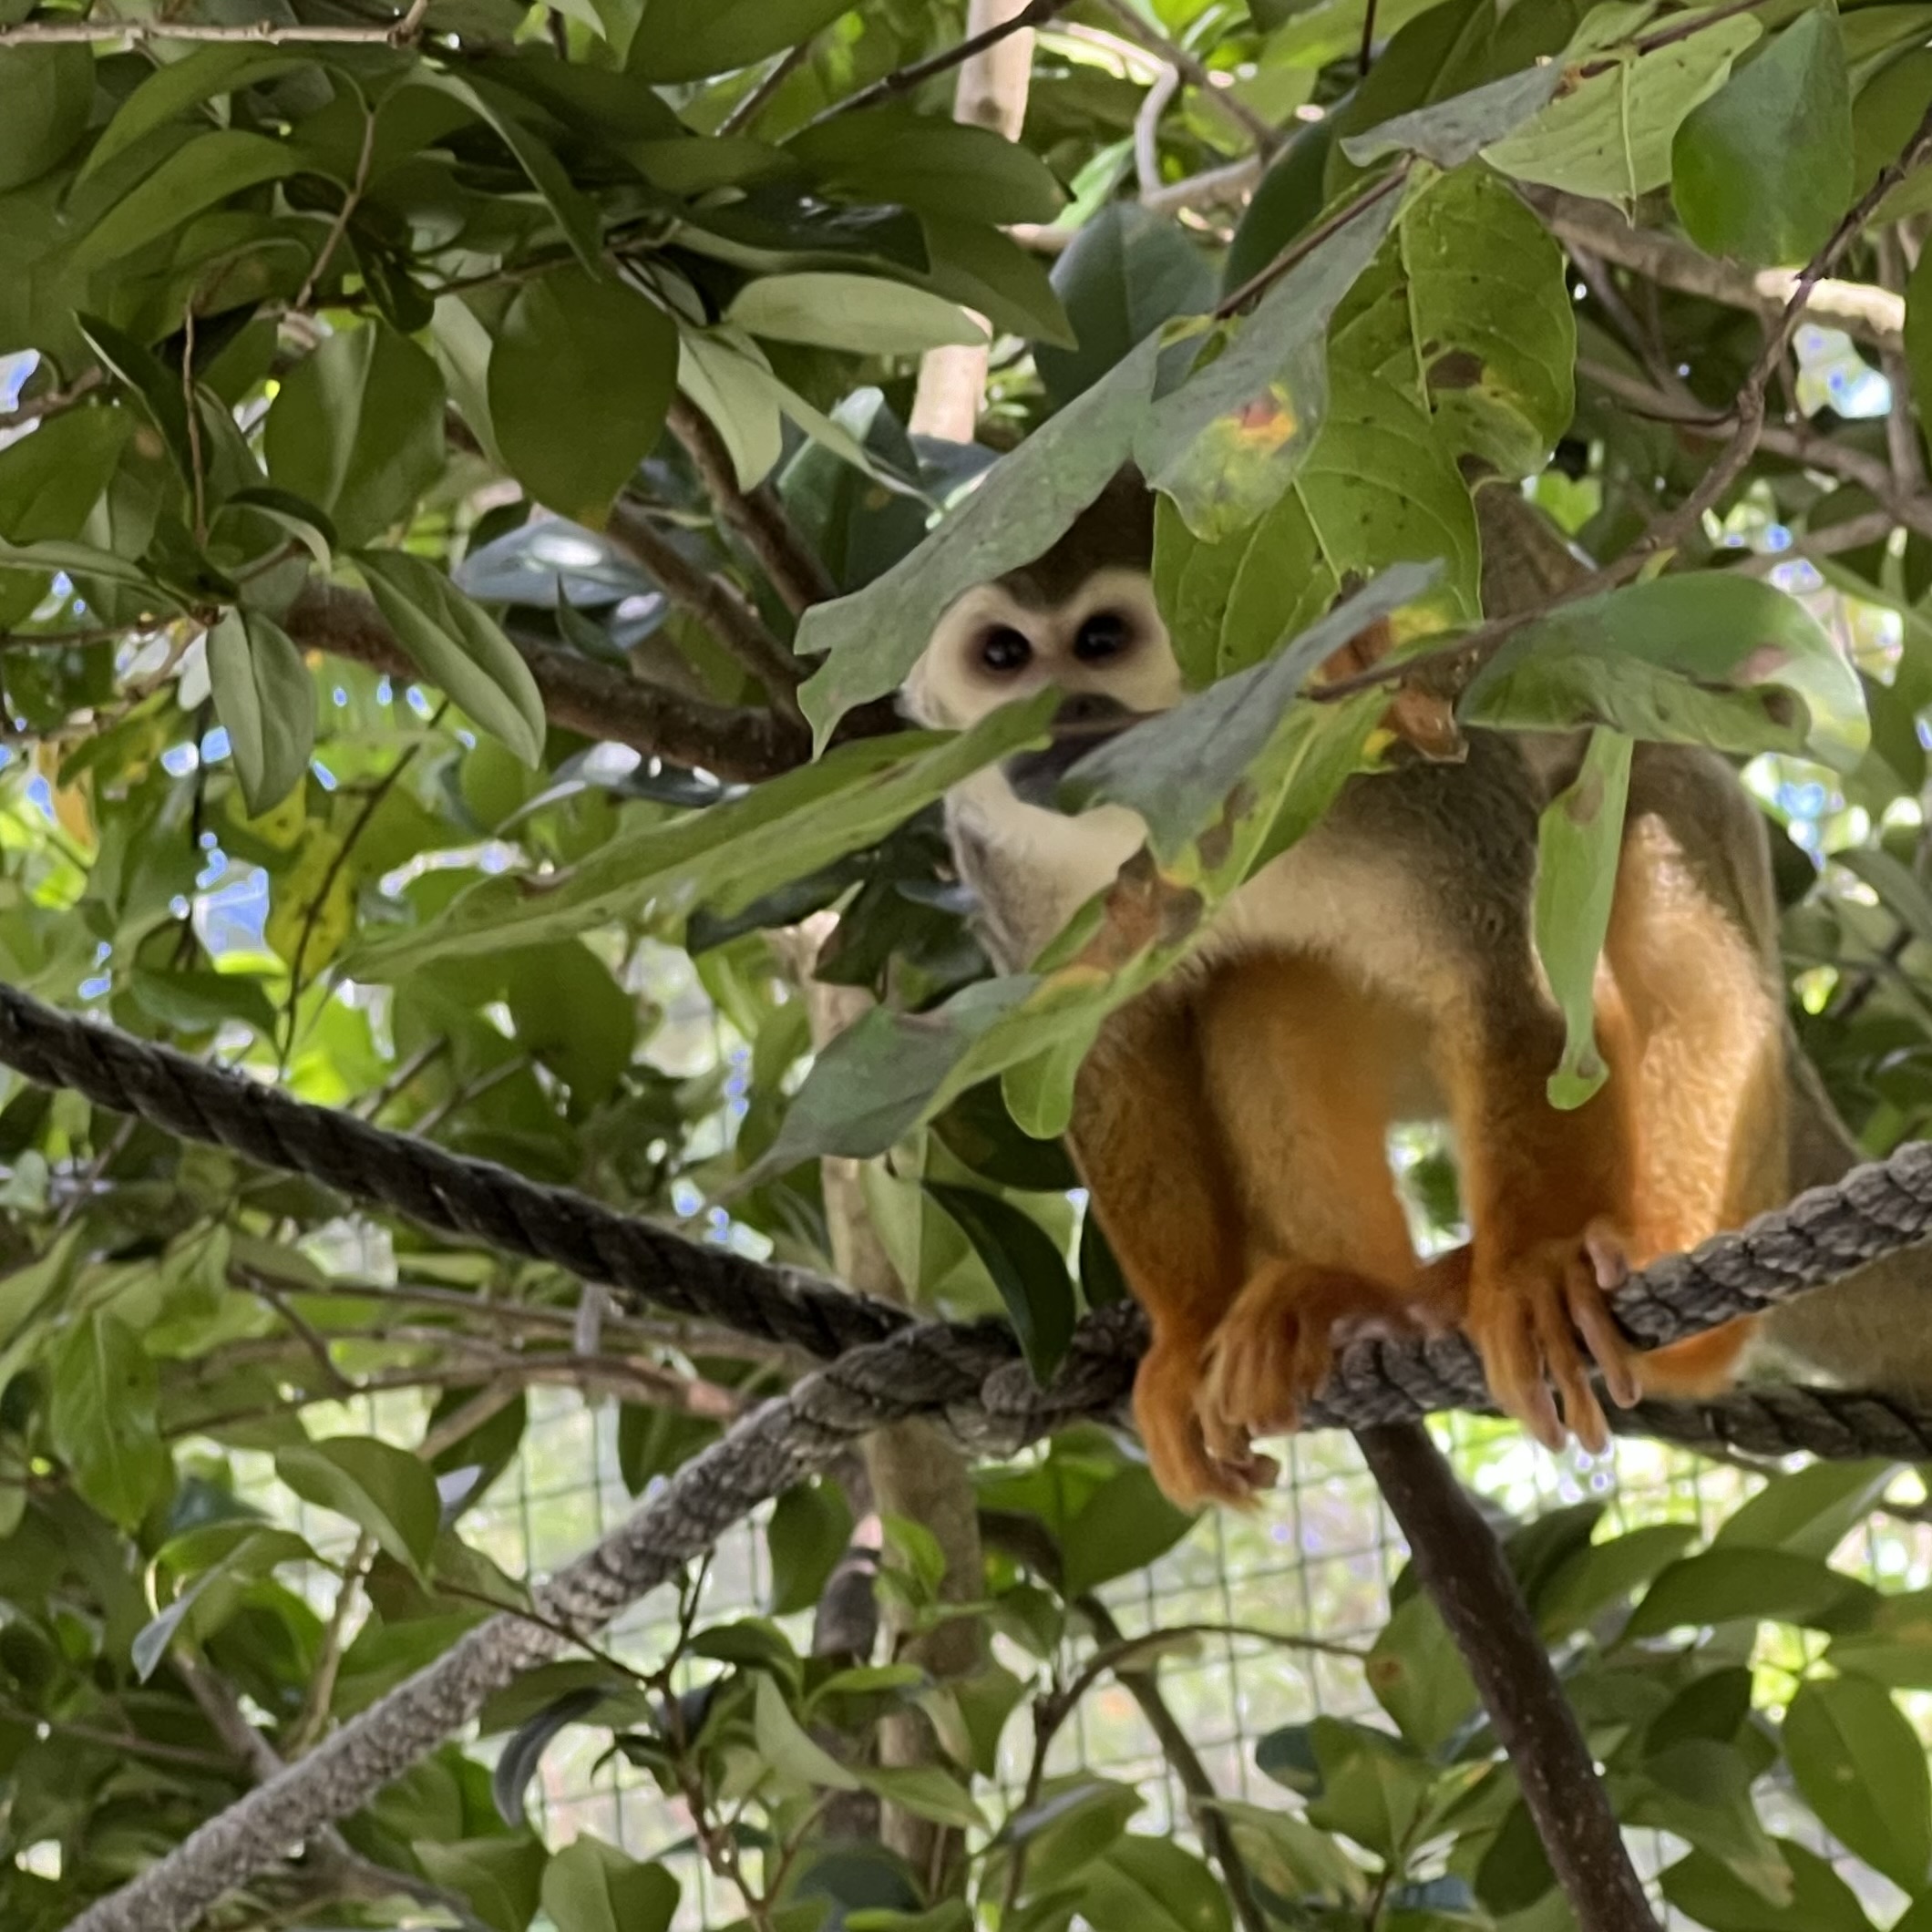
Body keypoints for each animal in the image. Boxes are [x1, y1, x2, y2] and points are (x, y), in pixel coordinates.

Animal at [902, 472, 1875, 1507]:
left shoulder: (1390, 735)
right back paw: (1368, 1300)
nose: (1063, 715)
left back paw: (1656, 1286)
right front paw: (1183, 1337)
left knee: (1636, 836)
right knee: (1259, 1002)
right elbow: (1094, 1055)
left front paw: (1533, 1267)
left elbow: (1504, 969)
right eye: (1003, 655)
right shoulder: (1005, 874)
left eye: (1099, 641)